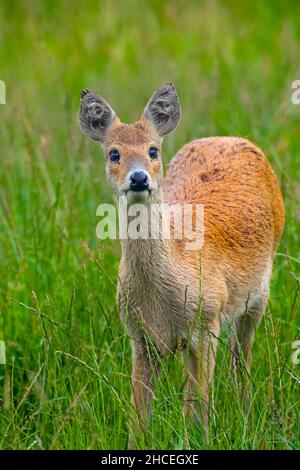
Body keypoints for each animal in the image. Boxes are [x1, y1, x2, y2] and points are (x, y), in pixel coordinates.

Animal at [78, 83, 284, 440]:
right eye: (113, 153)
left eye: (153, 150)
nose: (138, 178)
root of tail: (231, 138)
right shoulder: (140, 336)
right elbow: (138, 416)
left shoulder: (207, 320)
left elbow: (197, 407)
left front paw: (203, 440)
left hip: (257, 297)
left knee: (241, 358)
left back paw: (247, 414)